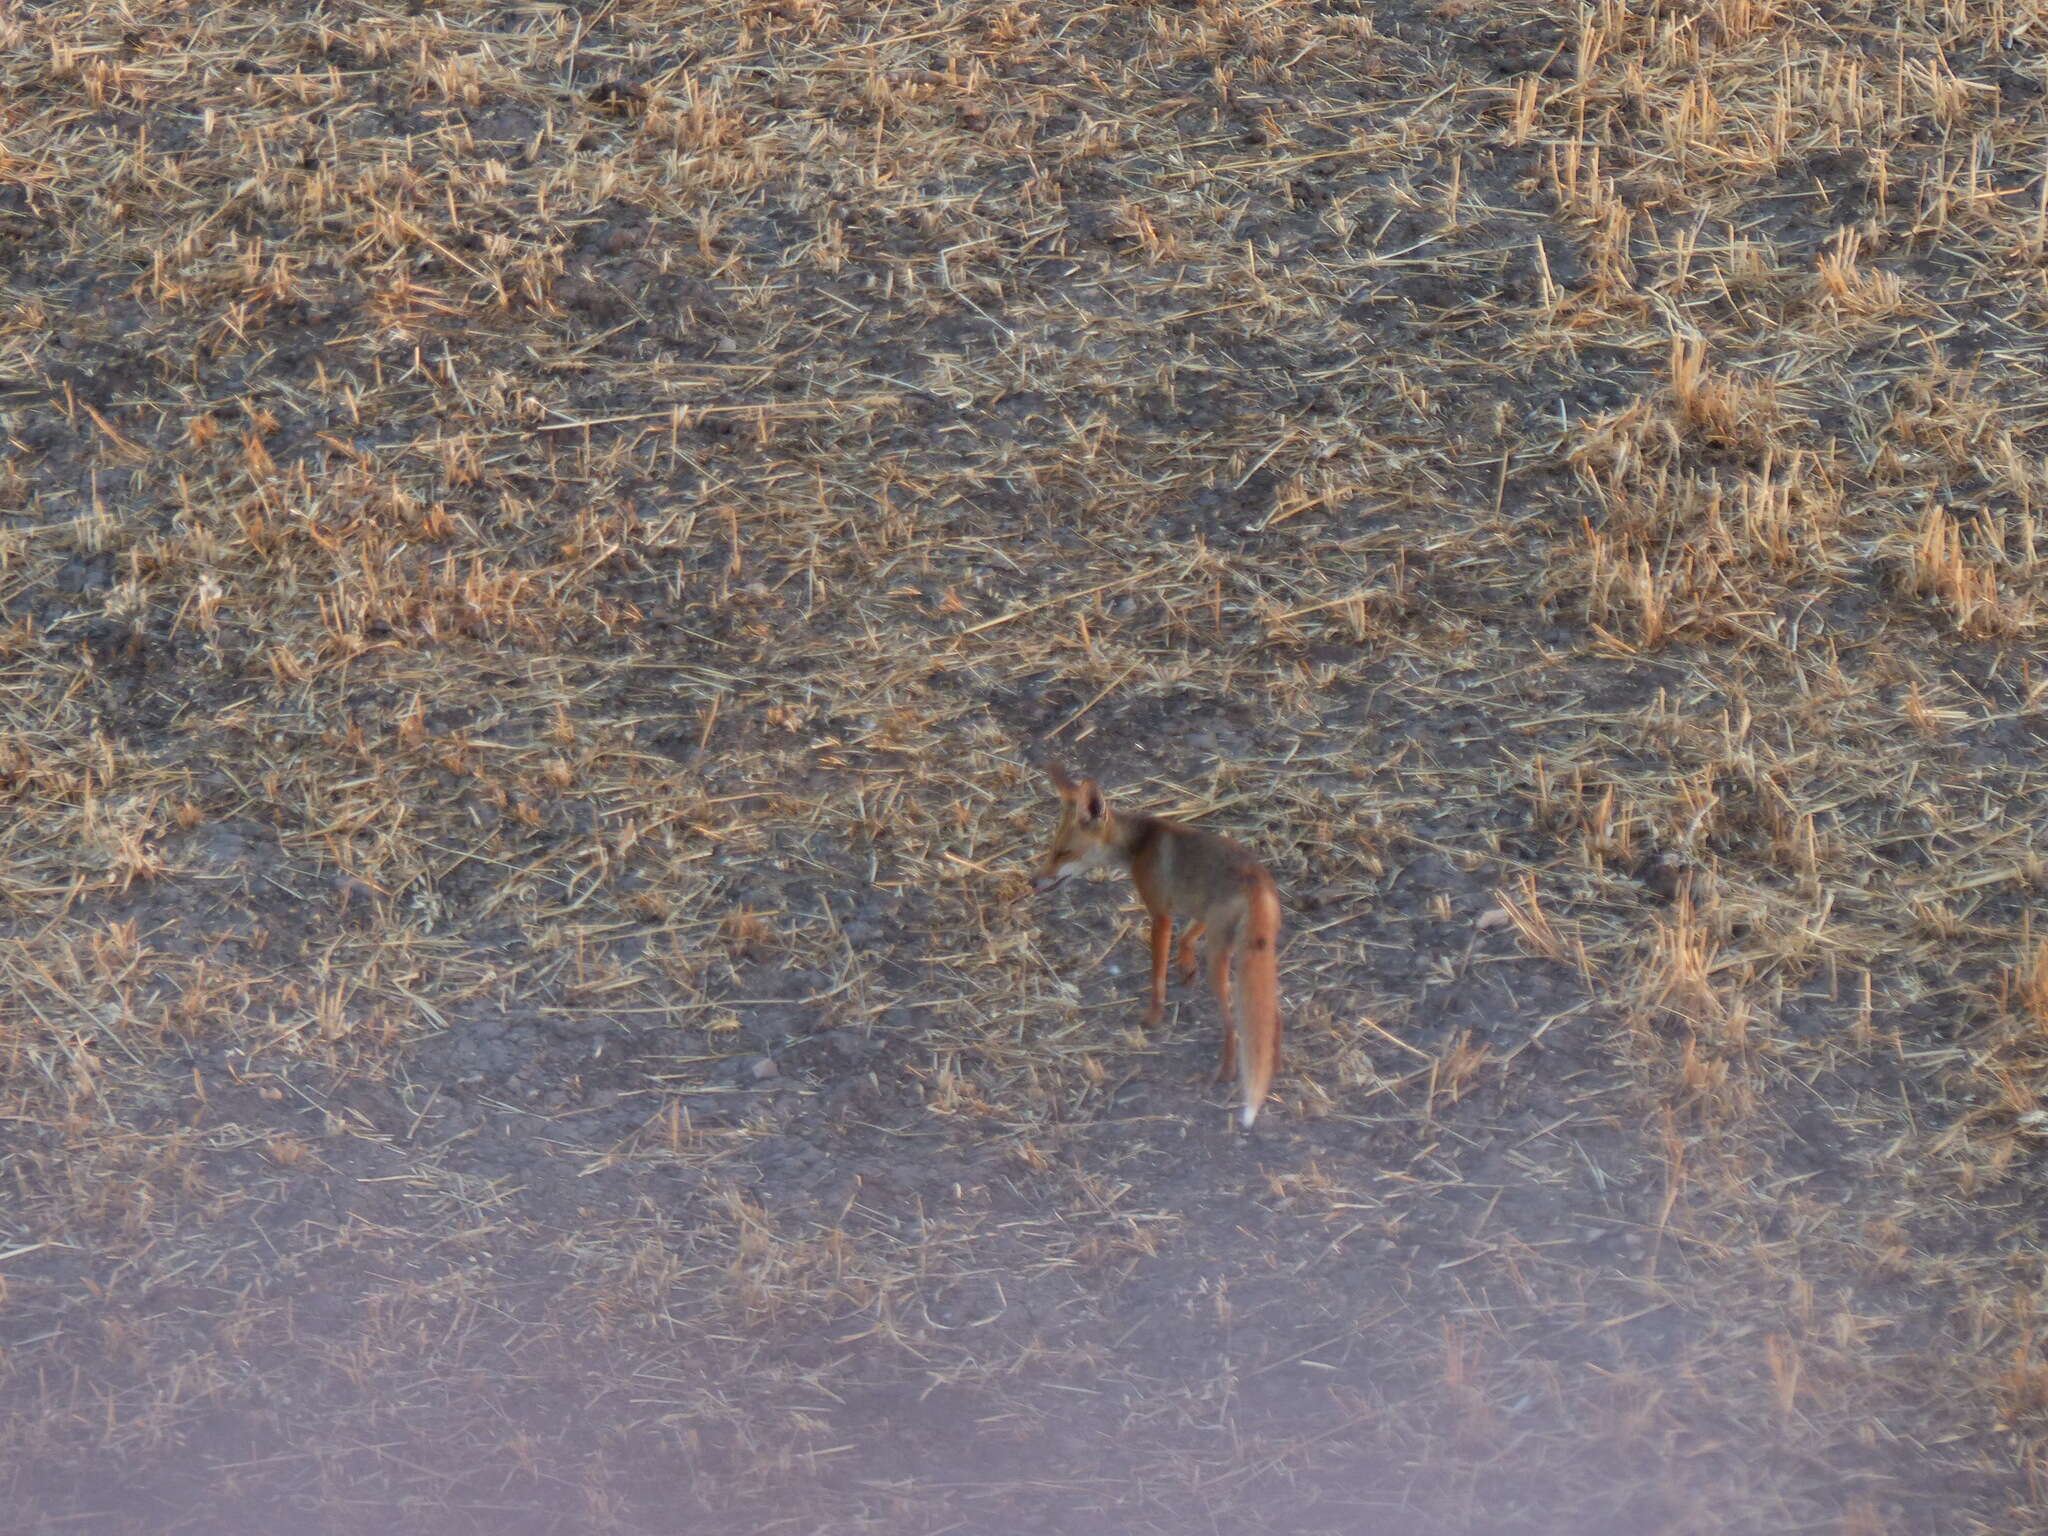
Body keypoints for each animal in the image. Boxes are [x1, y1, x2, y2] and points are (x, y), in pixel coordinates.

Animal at [1032, 765, 1286, 1130]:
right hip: (1252, 954)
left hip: (1220, 960)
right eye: (1052, 849)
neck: (1141, 844)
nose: (1032, 882)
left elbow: (1157, 976)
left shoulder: (1160, 914)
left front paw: (1153, 1017)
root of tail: (1258, 881)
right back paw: (1273, 1066)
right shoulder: (1198, 910)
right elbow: (1186, 939)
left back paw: (1225, 1072)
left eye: (1063, 852)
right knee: (1274, 1015)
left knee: (1233, 1024)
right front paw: (1186, 966)